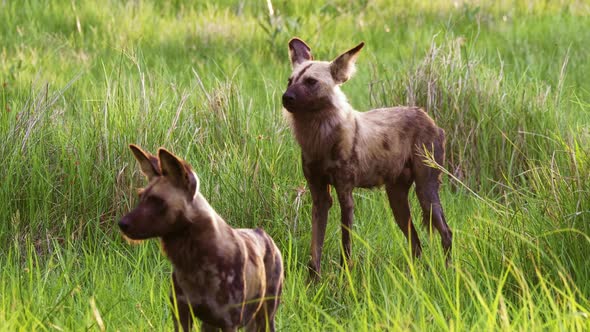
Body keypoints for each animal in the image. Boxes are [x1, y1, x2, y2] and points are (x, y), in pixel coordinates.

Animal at [118, 146, 284, 332]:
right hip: (210, 324)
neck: (194, 262)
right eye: (141, 197)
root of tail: (263, 233)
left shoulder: (229, 322)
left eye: (157, 201)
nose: (122, 224)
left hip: (266, 316)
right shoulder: (181, 316)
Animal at [284, 37, 456, 278]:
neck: (320, 138)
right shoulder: (319, 198)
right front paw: (313, 282)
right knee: (416, 243)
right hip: (397, 200)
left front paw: (345, 279)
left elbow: (345, 247)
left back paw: (448, 273)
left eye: (311, 82)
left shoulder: (345, 196)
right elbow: (315, 250)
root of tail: (427, 117)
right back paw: (413, 278)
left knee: (446, 233)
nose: (286, 97)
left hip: (426, 193)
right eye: (290, 81)